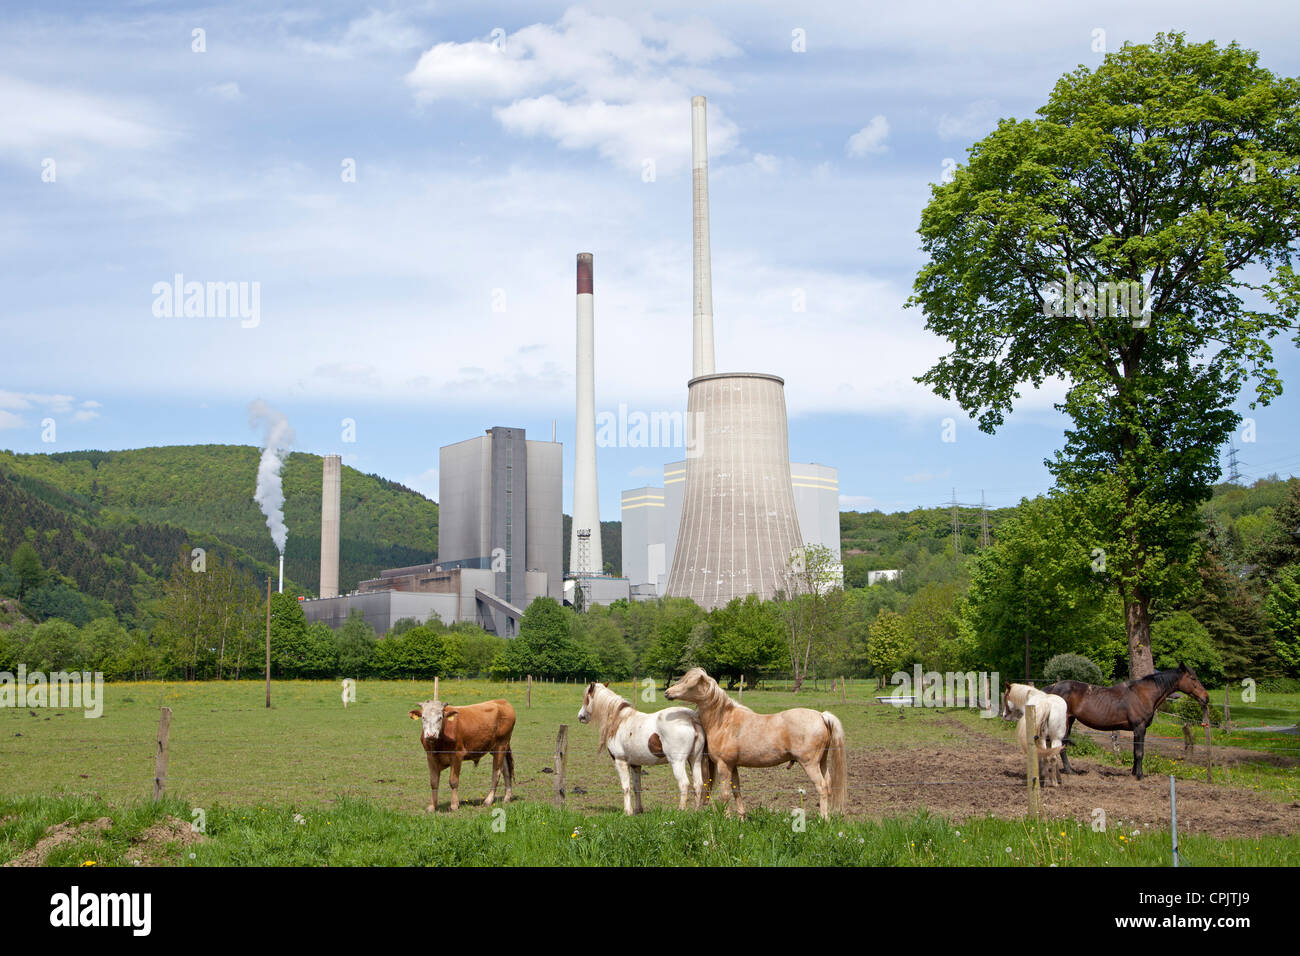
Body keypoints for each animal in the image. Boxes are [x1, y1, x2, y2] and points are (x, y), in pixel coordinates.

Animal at [582, 681, 712, 816]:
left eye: (586, 699)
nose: (580, 716)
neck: (620, 720)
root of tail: (690, 718)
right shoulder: (635, 764)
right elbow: (637, 787)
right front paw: (638, 810)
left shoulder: (620, 762)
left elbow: (626, 787)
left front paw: (627, 811)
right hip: (695, 759)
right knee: (698, 784)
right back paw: (696, 811)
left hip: (677, 762)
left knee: (684, 784)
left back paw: (681, 810)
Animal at [665, 665, 847, 822]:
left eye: (689, 683)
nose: (667, 692)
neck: (724, 721)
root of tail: (821, 716)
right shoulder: (733, 766)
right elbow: (736, 791)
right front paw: (741, 818)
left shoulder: (724, 765)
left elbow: (725, 794)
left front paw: (726, 819)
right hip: (822, 762)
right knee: (828, 785)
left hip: (810, 764)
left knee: (821, 787)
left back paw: (823, 819)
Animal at [1040, 660, 1211, 780]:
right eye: (1193, 678)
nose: (1206, 698)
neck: (1144, 694)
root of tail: (1053, 687)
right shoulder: (1140, 727)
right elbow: (1140, 752)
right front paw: (1140, 776)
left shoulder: (1137, 730)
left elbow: (1136, 752)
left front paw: (1134, 772)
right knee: (1060, 745)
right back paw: (1069, 771)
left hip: (1069, 721)